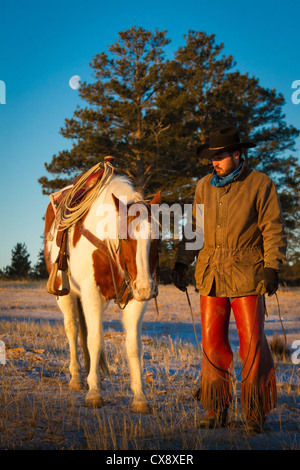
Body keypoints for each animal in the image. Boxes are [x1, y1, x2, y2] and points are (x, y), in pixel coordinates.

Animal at [43, 167, 161, 414]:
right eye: (125, 238)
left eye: (156, 239)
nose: (146, 288)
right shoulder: (91, 295)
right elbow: (95, 339)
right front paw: (94, 393)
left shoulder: (136, 299)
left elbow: (134, 345)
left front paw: (140, 398)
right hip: (66, 295)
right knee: (73, 329)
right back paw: (77, 378)